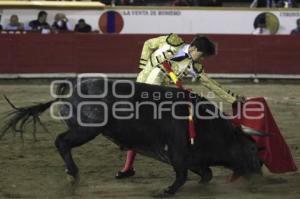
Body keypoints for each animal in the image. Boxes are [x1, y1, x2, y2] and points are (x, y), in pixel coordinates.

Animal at [1, 78, 260, 197]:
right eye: (252, 150)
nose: (259, 173)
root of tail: (73, 85)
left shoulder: (193, 158)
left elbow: (205, 174)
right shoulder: (178, 154)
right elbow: (181, 176)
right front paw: (166, 191)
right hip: (87, 129)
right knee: (62, 142)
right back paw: (73, 175)